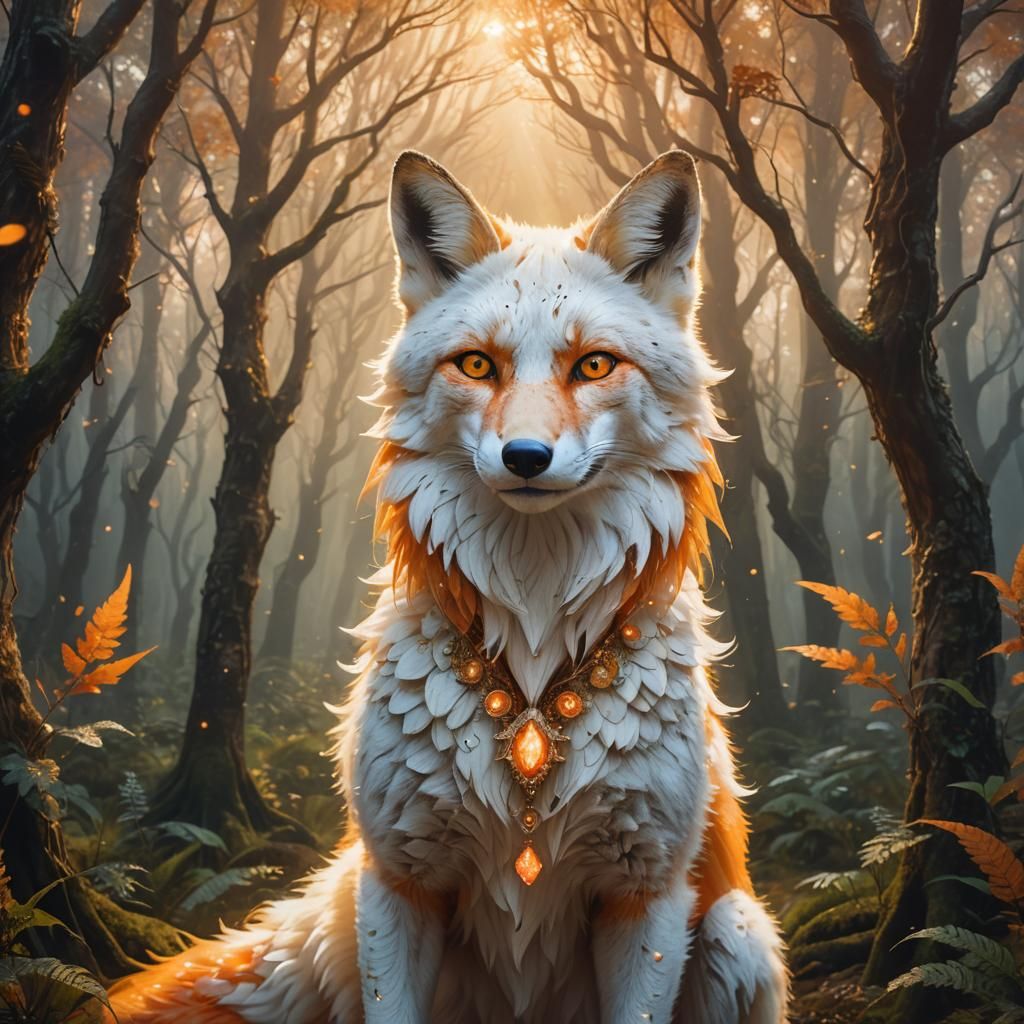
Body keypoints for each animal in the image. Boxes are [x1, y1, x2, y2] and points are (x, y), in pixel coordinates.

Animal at [107, 149, 789, 1024]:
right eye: (476, 365)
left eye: (593, 365)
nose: (526, 457)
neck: (531, 664)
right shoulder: (401, 878)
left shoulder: (649, 893)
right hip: (349, 909)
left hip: (738, 931)